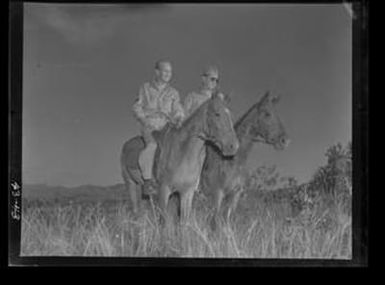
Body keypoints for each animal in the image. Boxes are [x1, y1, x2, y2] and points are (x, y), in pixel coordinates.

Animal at [119, 92, 237, 222]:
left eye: (230, 114)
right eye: (217, 113)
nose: (233, 146)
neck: (183, 153)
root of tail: (127, 145)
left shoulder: (186, 193)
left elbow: (183, 221)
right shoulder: (164, 191)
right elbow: (164, 221)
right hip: (130, 183)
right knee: (135, 209)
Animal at [200, 91, 290, 229]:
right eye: (267, 113)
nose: (284, 140)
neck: (232, 160)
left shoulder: (234, 195)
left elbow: (227, 221)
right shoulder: (217, 193)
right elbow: (214, 222)